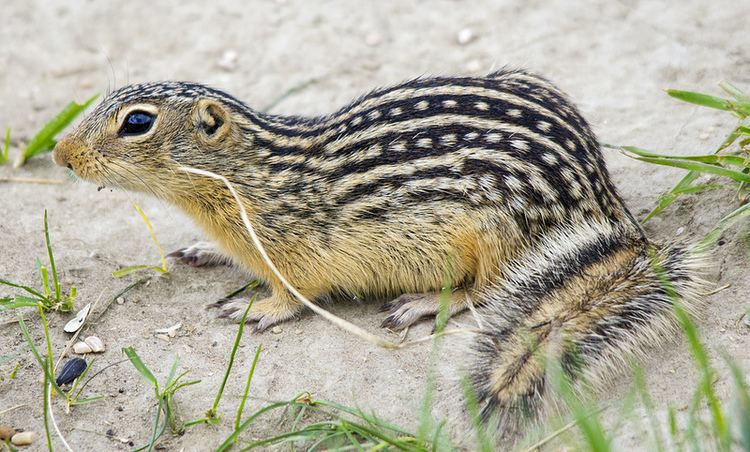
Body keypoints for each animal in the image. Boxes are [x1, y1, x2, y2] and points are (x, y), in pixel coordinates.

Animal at [55, 69, 708, 430]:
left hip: (497, 234)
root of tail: (611, 210)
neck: (249, 177)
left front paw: (254, 309)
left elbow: (293, 294)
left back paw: (425, 302)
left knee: (487, 290)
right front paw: (202, 249)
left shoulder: (296, 253)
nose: (61, 155)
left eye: (136, 123)